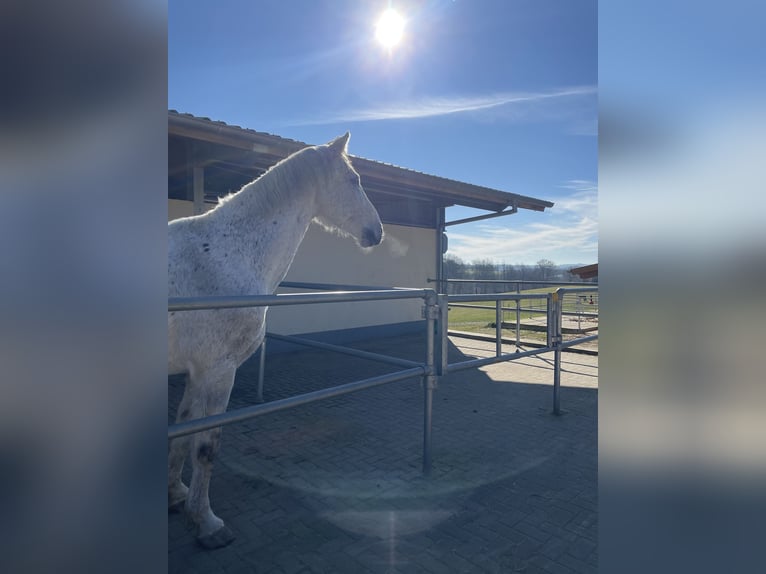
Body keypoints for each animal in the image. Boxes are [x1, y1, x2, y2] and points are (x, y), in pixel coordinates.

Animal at [169, 133, 384, 552]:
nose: (377, 231)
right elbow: (205, 447)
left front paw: (176, 495)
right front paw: (207, 523)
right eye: (354, 180)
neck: (231, 252)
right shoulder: (218, 372)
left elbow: (183, 431)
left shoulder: (196, 372)